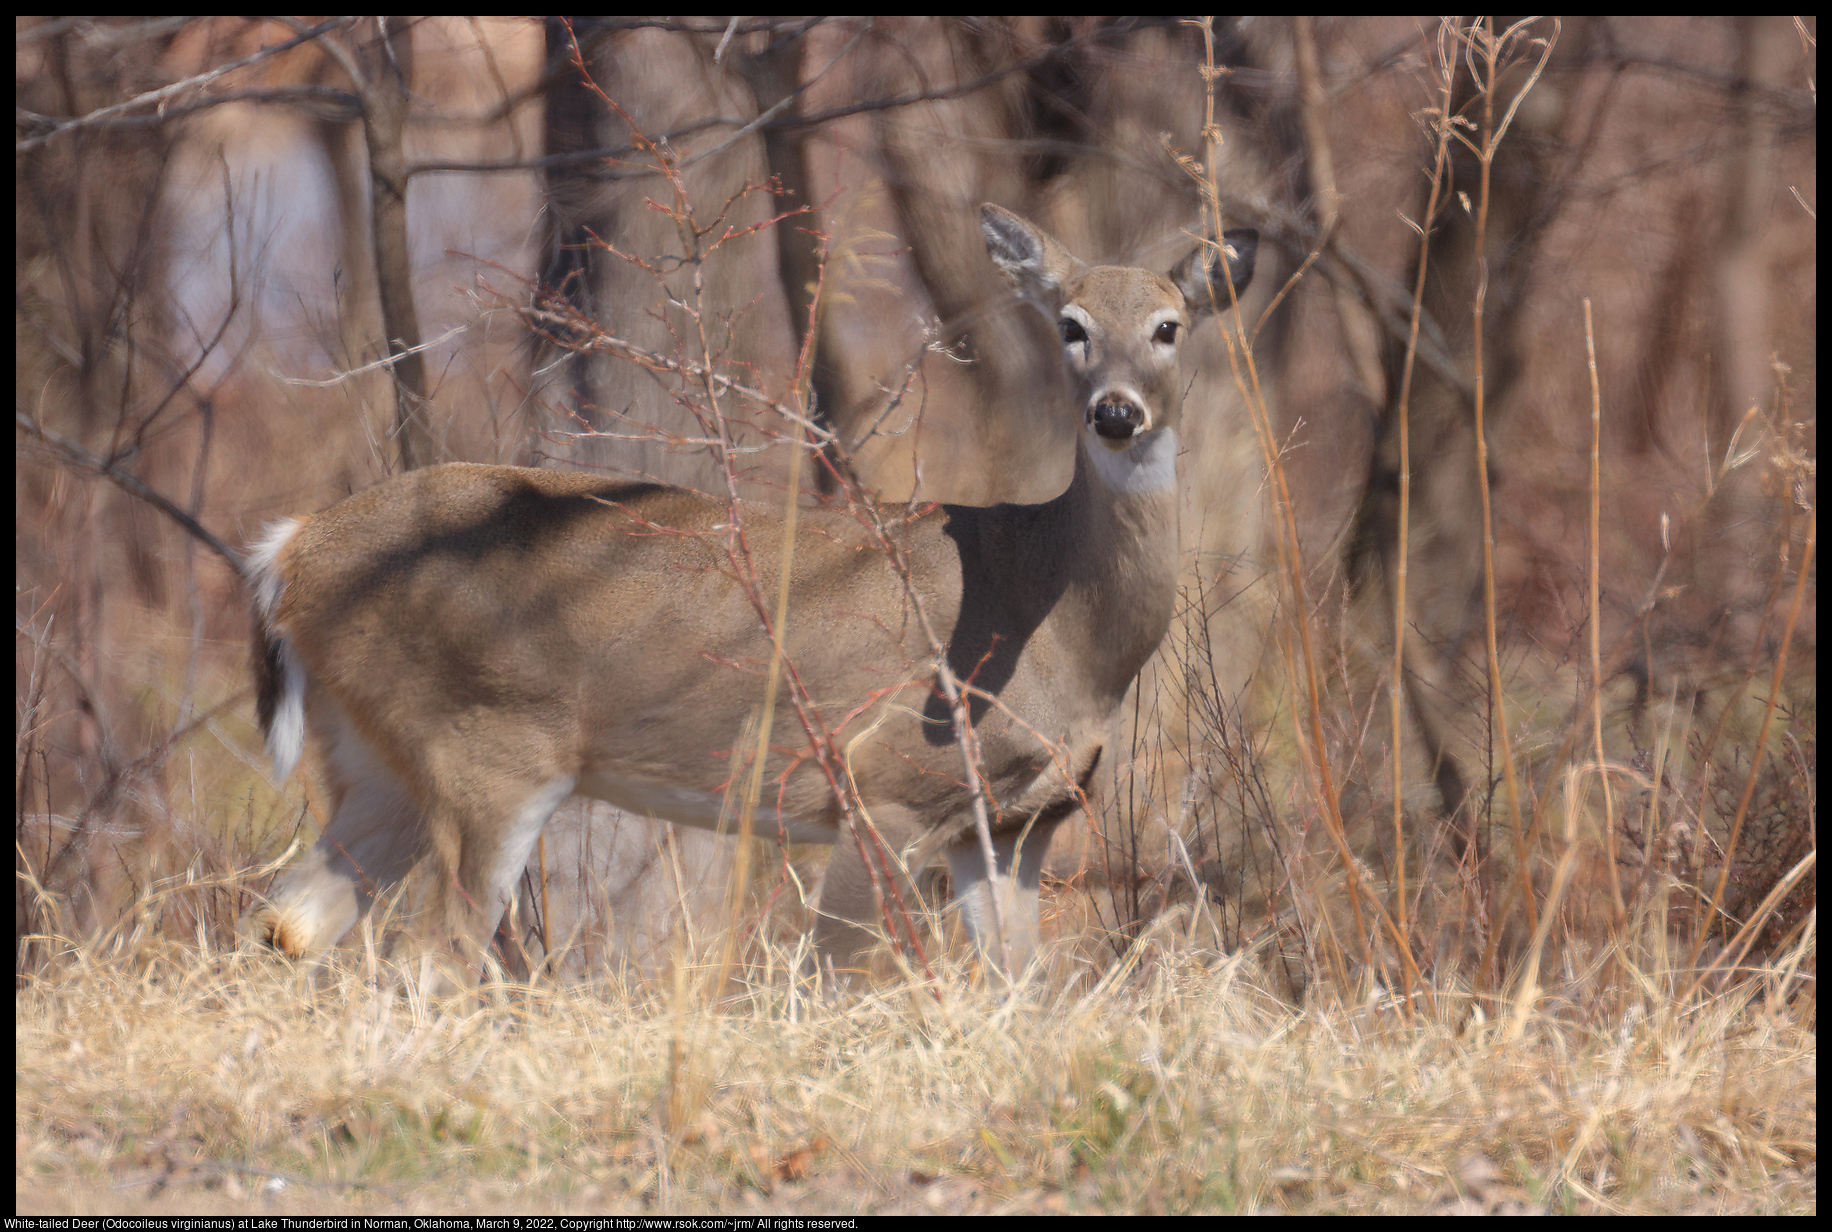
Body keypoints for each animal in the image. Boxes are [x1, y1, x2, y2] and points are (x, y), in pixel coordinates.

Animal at [247, 207, 1260, 982]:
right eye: (1072, 324)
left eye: (1170, 326)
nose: (1117, 412)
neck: (1059, 618)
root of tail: (290, 551)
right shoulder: (882, 777)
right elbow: (830, 975)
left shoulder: (1015, 824)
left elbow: (1022, 992)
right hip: (487, 749)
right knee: (432, 951)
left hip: (381, 759)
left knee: (290, 920)